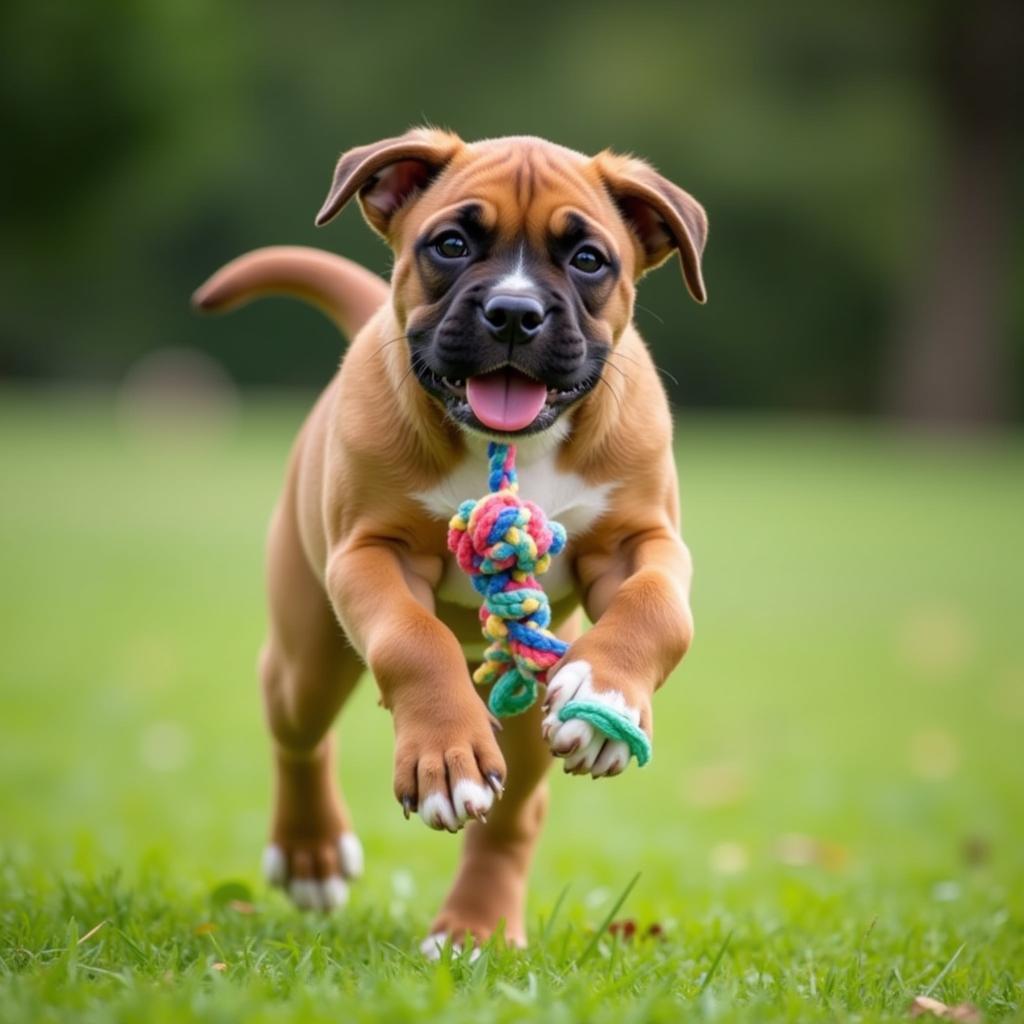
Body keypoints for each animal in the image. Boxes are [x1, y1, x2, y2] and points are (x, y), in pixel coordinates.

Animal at [192, 128, 704, 950]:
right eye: (452, 245)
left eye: (589, 259)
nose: (514, 312)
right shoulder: (369, 553)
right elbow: (412, 639)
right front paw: (443, 755)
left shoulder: (643, 541)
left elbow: (659, 608)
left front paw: (609, 696)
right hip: (311, 650)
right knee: (296, 722)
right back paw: (311, 856)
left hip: (523, 700)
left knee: (517, 811)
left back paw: (476, 928)